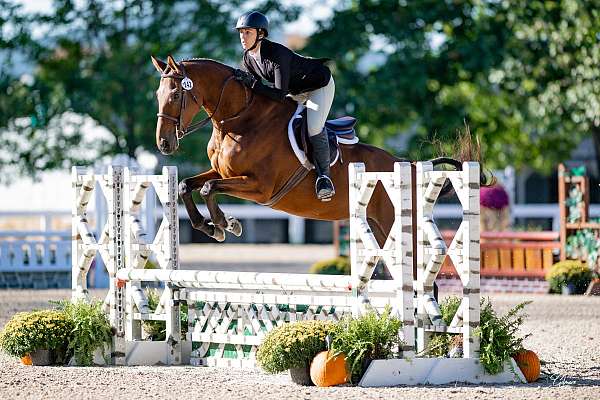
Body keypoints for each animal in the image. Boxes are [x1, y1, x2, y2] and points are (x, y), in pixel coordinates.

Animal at [151, 54, 482, 245]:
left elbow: (209, 188)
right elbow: (186, 184)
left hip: (396, 225)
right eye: (157, 94)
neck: (239, 120)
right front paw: (209, 227)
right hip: (377, 227)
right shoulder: (222, 172)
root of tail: (409, 165)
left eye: (177, 94)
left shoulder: (260, 188)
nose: (164, 144)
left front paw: (225, 224)